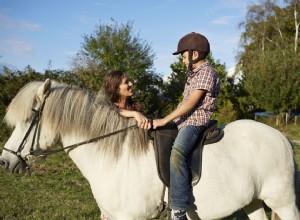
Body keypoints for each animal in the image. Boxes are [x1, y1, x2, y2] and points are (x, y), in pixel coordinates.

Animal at [0, 79, 298, 220]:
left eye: (29, 118)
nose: (4, 161)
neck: (116, 157)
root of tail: (282, 138)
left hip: (283, 201)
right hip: (253, 201)